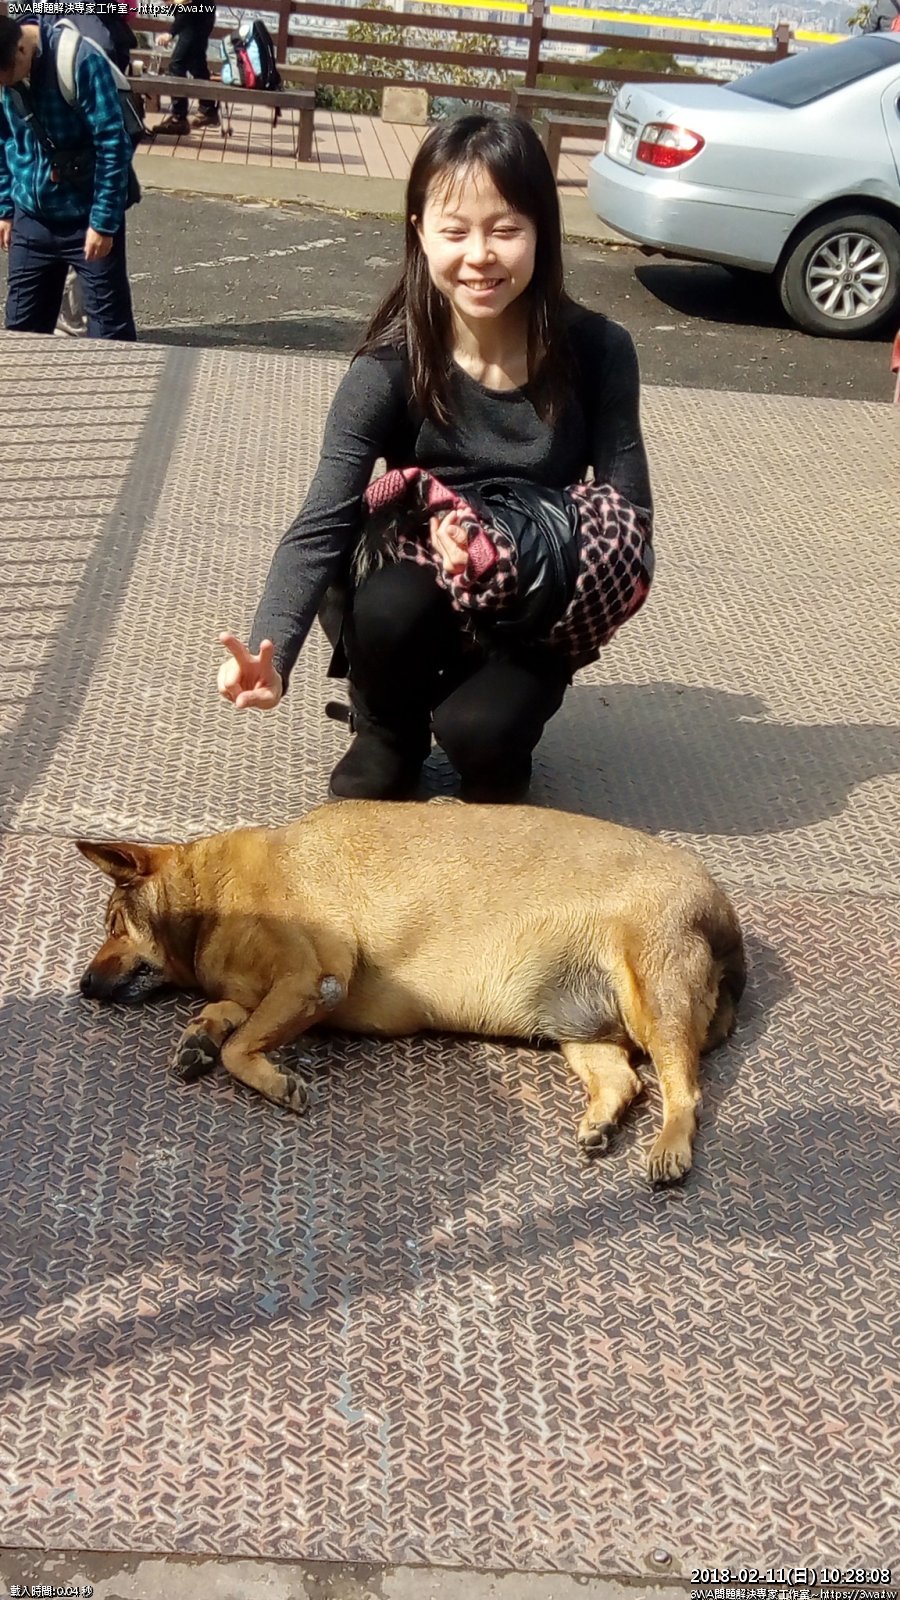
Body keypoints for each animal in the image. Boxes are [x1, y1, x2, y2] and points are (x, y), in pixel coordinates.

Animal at [77, 800, 745, 1185]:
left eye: (112, 925)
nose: (83, 986)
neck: (209, 899)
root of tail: (722, 912)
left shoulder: (313, 979)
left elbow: (243, 1048)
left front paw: (271, 1078)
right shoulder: (271, 992)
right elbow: (227, 1013)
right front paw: (198, 1036)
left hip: (655, 996)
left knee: (684, 1091)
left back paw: (669, 1146)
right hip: (580, 1027)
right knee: (626, 1080)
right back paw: (602, 1121)